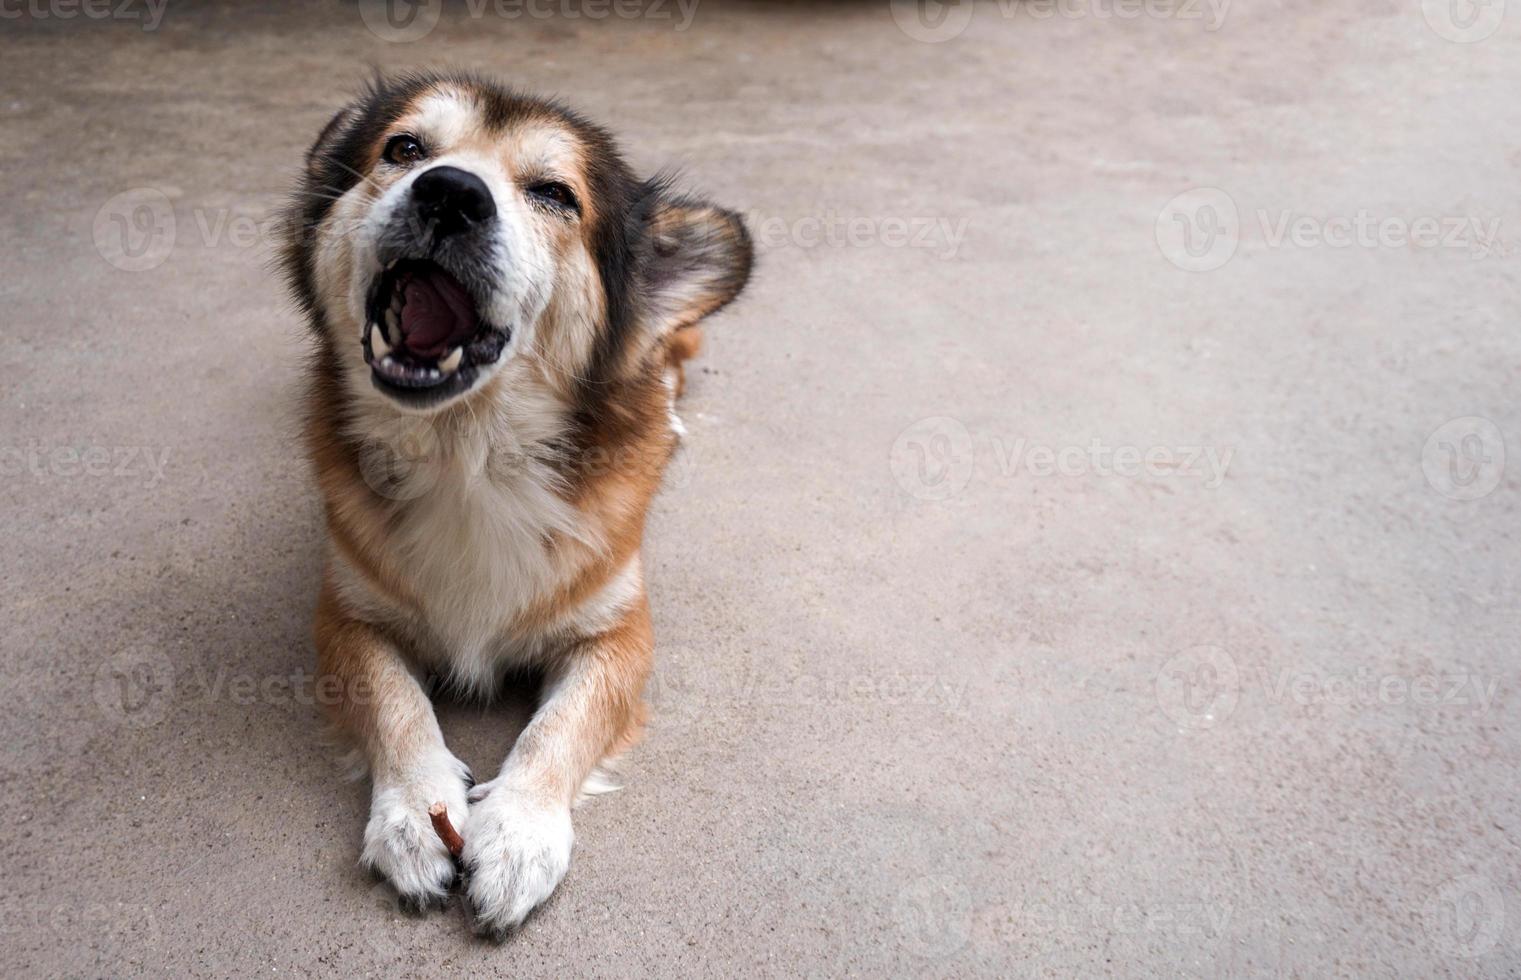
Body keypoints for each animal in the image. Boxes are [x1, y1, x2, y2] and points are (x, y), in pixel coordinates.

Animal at [279, 70, 754, 931]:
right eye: (403, 148)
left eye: (554, 194)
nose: (449, 195)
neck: (468, 454)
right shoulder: (344, 614)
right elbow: (394, 701)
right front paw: (414, 814)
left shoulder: (618, 633)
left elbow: (559, 728)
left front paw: (519, 834)